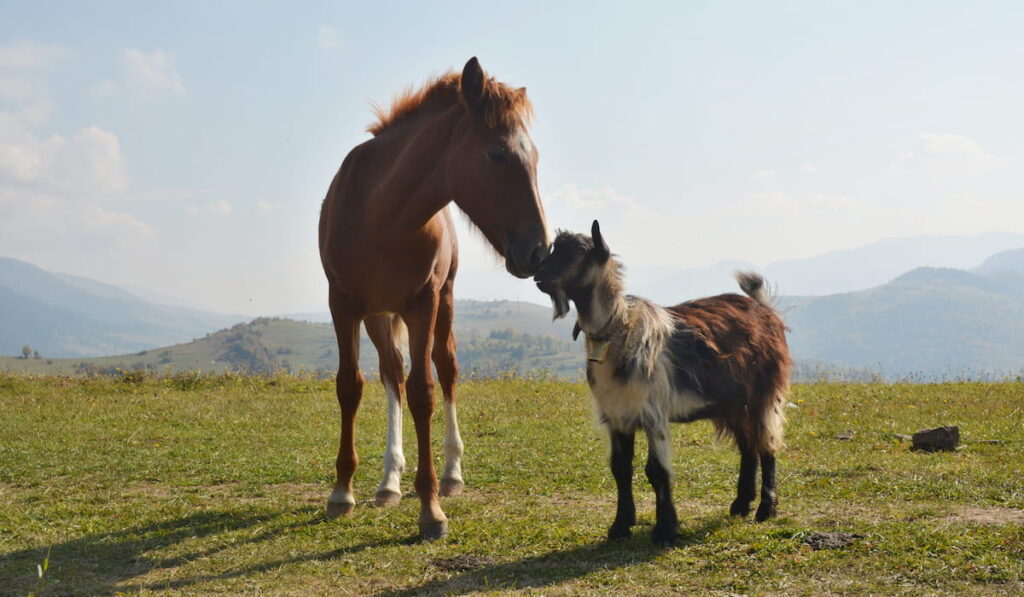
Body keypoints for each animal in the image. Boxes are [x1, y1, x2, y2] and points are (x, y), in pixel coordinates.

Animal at [317, 58, 548, 540]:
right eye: (498, 154)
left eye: (534, 156)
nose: (540, 250)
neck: (380, 214)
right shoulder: (342, 304)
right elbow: (351, 386)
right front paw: (342, 491)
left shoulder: (422, 303)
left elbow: (424, 391)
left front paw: (431, 508)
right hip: (377, 314)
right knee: (392, 374)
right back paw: (388, 482)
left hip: (445, 300)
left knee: (446, 369)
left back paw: (451, 474)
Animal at [536, 221, 790, 544]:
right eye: (555, 248)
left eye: (579, 252)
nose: (539, 275)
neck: (619, 331)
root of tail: (765, 311)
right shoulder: (616, 414)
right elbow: (620, 468)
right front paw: (620, 525)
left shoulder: (653, 412)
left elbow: (656, 470)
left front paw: (665, 529)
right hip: (732, 402)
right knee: (748, 445)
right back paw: (740, 504)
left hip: (764, 392)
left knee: (767, 443)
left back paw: (765, 509)